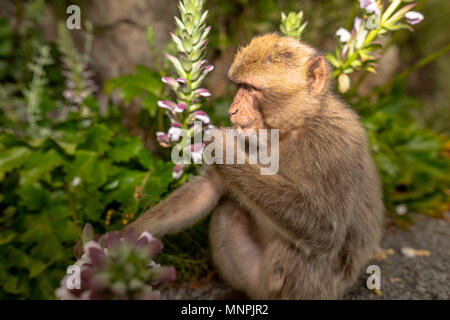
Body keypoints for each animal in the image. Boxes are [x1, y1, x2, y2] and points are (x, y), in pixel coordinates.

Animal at [124, 33, 384, 298]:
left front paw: (224, 150)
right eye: (240, 87)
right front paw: (127, 238)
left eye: (250, 88)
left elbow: (324, 229)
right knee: (228, 212)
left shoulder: (334, 147)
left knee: (305, 251)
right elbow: (206, 191)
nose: (232, 110)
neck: (292, 129)